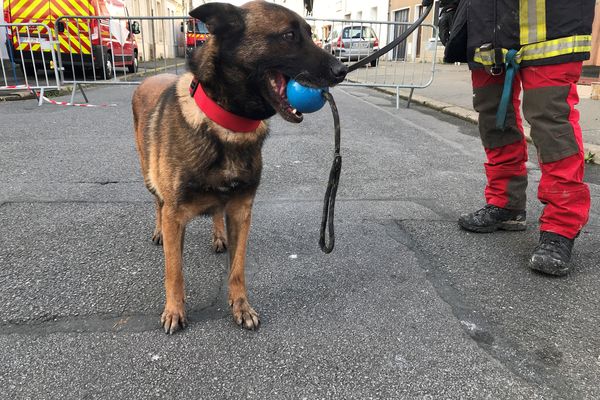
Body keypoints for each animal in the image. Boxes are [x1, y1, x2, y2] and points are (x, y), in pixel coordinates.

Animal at [131, 0, 346, 334]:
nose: (342, 70)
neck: (227, 125)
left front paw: (241, 306)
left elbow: (237, 267)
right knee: (158, 204)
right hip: (149, 178)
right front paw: (175, 310)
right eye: (288, 35)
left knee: (216, 211)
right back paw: (159, 232)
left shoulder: (242, 210)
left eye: (310, 34)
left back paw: (219, 235)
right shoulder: (175, 214)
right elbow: (174, 270)